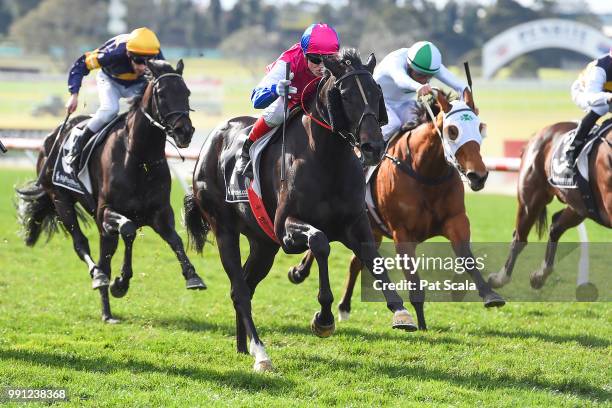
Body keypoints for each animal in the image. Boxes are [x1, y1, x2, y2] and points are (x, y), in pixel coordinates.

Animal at [14, 59, 204, 324]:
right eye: (161, 93)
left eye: (186, 92)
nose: (184, 131)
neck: (139, 158)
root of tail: (52, 136)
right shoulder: (104, 210)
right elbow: (128, 229)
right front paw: (119, 282)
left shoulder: (159, 211)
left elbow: (173, 238)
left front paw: (192, 276)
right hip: (61, 199)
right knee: (82, 244)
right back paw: (100, 284)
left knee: (108, 250)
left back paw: (108, 304)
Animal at [184, 49, 418, 372]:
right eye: (345, 95)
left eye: (376, 92)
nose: (373, 146)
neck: (327, 158)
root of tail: (210, 142)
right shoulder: (286, 230)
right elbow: (319, 242)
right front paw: (324, 318)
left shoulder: (354, 224)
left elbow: (373, 258)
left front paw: (400, 311)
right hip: (225, 230)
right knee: (240, 291)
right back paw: (261, 354)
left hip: (263, 244)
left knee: (244, 286)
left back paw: (244, 346)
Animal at [290, 90, 504, 332]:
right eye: (452, 130)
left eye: (480, 127)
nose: (479, 175)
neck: (426, 174)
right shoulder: (403, 234)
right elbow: (415, 283)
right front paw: (420, 324)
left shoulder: (456, 221)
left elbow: (466, 256)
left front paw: (488, 293)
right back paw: (299, 272)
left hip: (369, 230)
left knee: (355, 262)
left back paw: (343, 306)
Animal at [488, 118, 612, 290]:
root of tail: (538, 134)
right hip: (531, 200)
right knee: (519, 238)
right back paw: (500, 278)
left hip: (580, 207)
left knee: (555, 225)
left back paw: (539, 276)